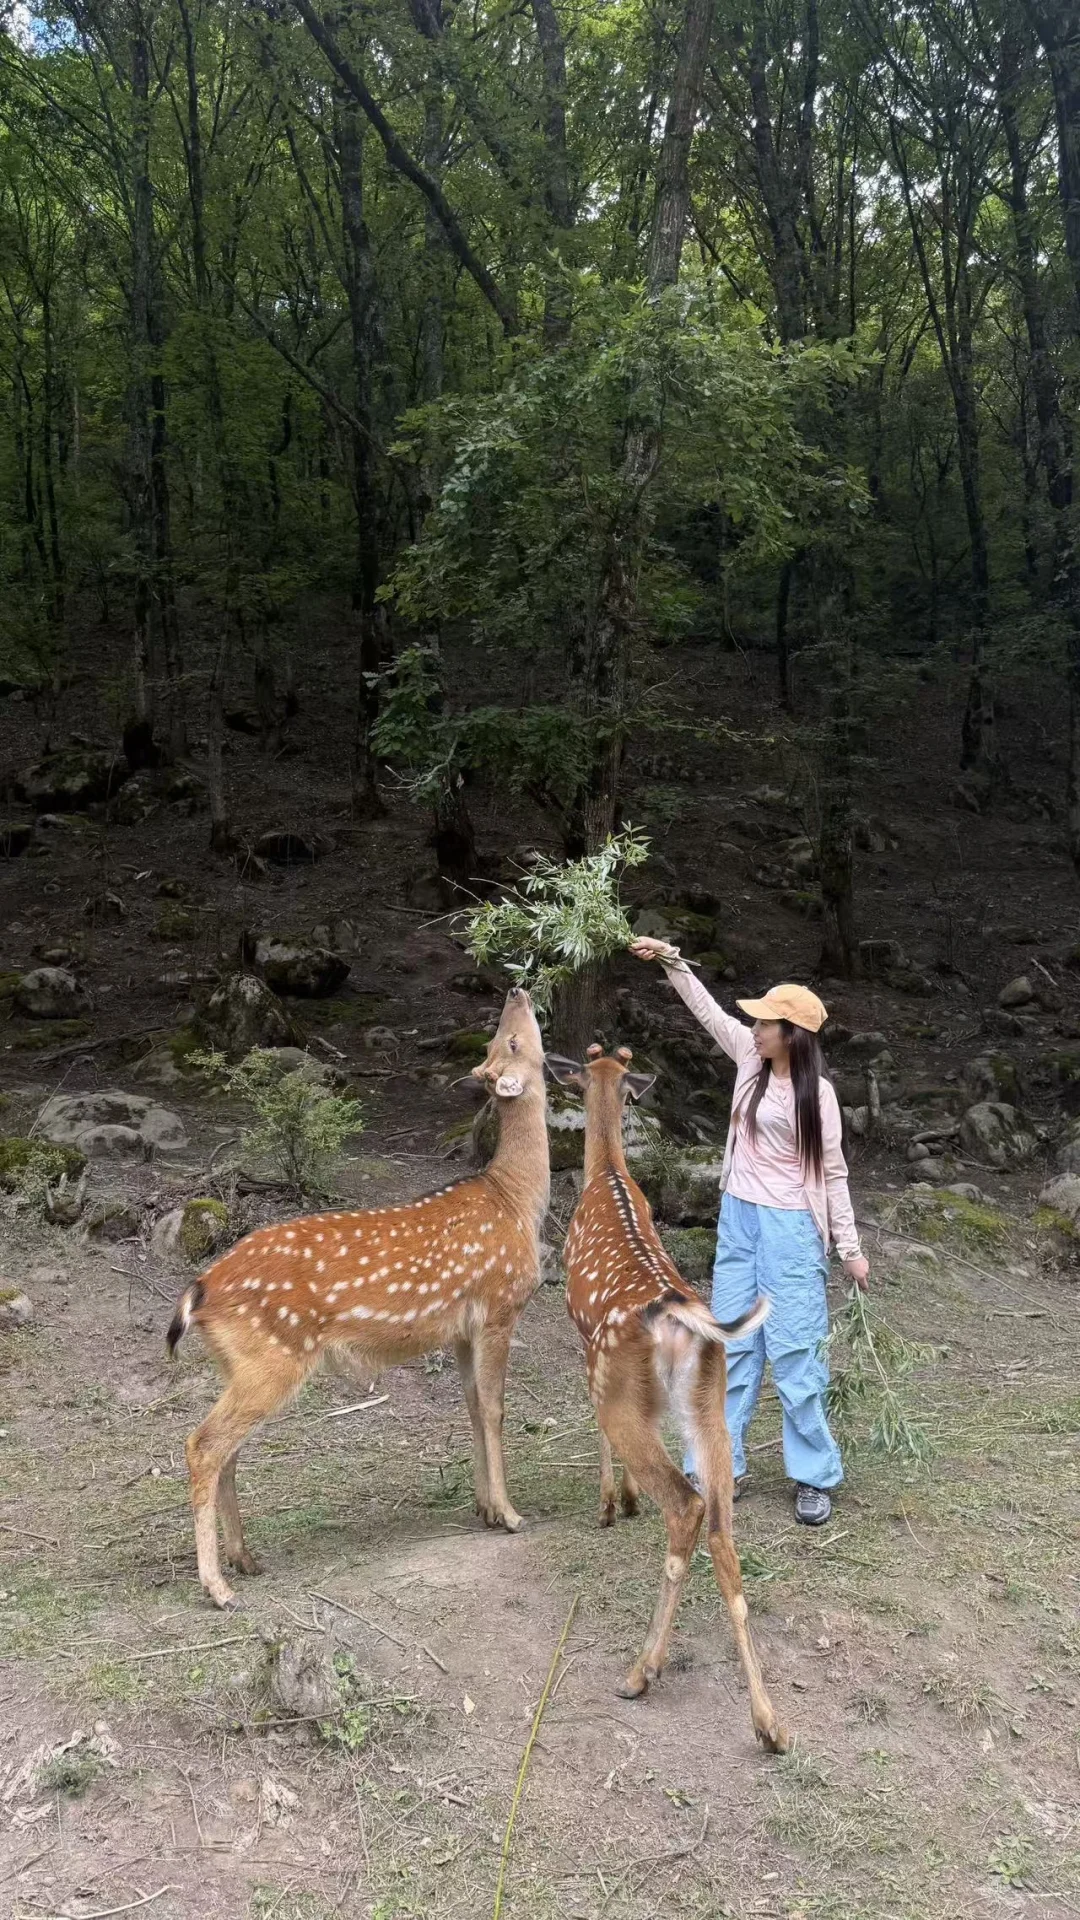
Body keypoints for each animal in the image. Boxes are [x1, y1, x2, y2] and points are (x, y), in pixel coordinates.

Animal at [168, 987, 551, 1609]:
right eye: (511, 1041)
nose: (517, 990)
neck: (516, 1200)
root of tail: (198, 1292)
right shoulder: (500, 1307)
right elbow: (496, 1407)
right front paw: (512, 1514)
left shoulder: (461, 1329)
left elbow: (472, 1405)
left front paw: (485, 1509)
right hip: (272, 1359)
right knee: (203, 1444)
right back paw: (219, 1588)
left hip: (240, 1365)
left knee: (226, 1448)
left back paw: (246, 1559)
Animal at [548, 1044, 789, 1753]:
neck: (608, 1174)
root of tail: (685, 1320)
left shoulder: (581, 1342)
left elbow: (595, 1435)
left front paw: (612, 1504)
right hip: (710, 1410)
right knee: (723, 1534)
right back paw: (770, 1724)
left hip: (621, 1387)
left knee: (684, 1506)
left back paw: (640, 1671)